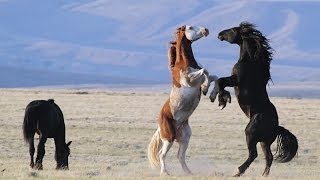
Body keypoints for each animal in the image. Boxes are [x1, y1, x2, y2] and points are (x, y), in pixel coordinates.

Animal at [148, 24, 215, 175]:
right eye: (190, 27)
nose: (206, 30)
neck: (184, 62)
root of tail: (160, 125)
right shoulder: (189, 80)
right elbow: (205, 71)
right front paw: (206, 88)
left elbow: (213, 75)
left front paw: (209, 90)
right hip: (169, 138)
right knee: (161, 154)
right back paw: (165, 172)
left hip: (185, 137)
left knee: (180, 156)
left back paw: (188, 172)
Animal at [210, 21, 298, 176]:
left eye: (233, 30)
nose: (220, 34)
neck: (250, 61)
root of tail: (276, 127)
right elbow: (220, 81)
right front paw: (223, 99)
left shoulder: (235, 80)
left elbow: (220, 81)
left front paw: (222, 100)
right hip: (264, 142)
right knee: (268, 157)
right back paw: (263, 175)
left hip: (250, 133)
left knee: (254, 154)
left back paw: (238, 171)